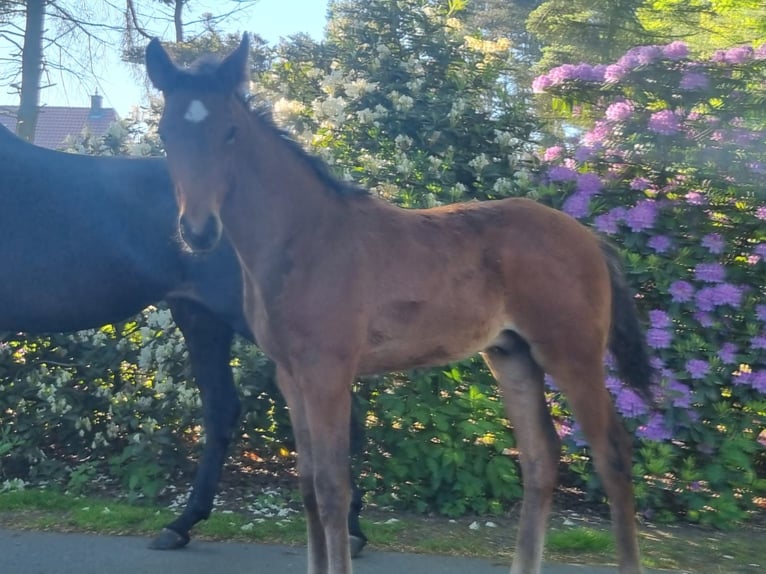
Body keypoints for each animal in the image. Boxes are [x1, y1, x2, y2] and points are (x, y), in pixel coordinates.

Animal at [146, 36, 656, 574]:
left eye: (231, 132)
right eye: (165, 134)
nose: (198, 231)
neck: (305, 237)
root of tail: (589, 239)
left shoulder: (328, 372)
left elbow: (331, 488)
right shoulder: (290, 375)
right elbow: (306, 486)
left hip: (571, 354)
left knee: (612, 453)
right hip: (512, 355)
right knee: (541, 457)